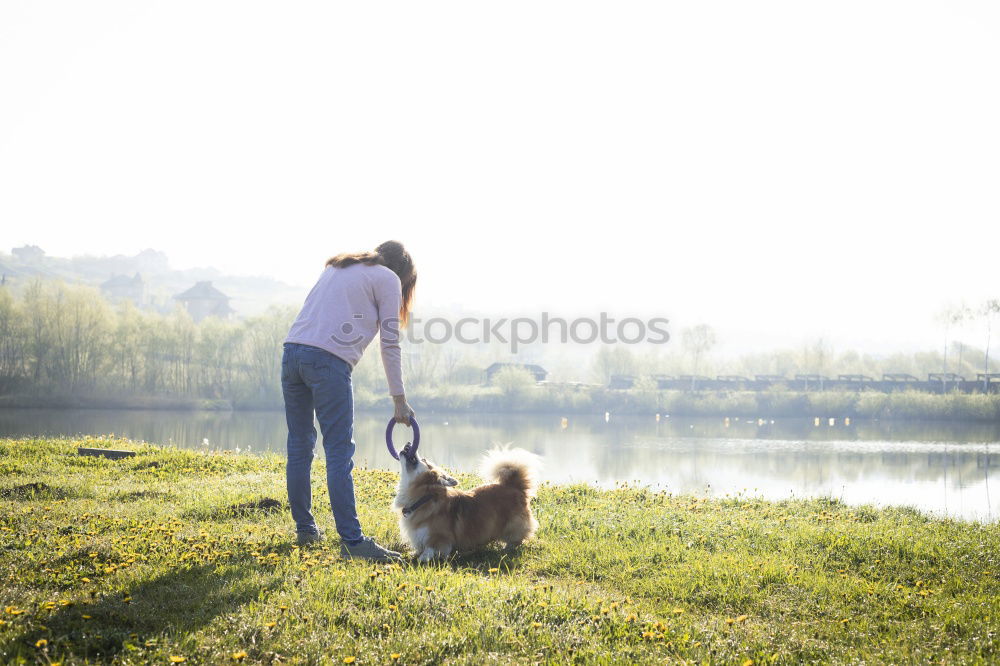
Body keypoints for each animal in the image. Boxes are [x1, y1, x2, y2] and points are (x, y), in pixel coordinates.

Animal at [394, 446, 544, 560]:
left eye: (424, 460)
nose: (408, 444)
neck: (424, 498)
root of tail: (514, 486)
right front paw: (414, 554)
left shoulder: (438, 537)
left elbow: (430, 549)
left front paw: (422, 558)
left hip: (512, 526)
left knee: (517, 539)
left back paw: (506, 548)